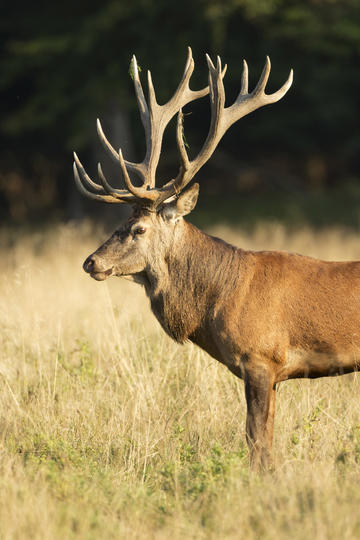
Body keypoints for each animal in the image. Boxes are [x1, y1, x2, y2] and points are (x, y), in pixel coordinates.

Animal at [71, 48, 360, 470]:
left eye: (138, 228)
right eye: (119, 223)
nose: (91, 262)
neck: (220, 297)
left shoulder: (261, 356)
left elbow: (257, 439)